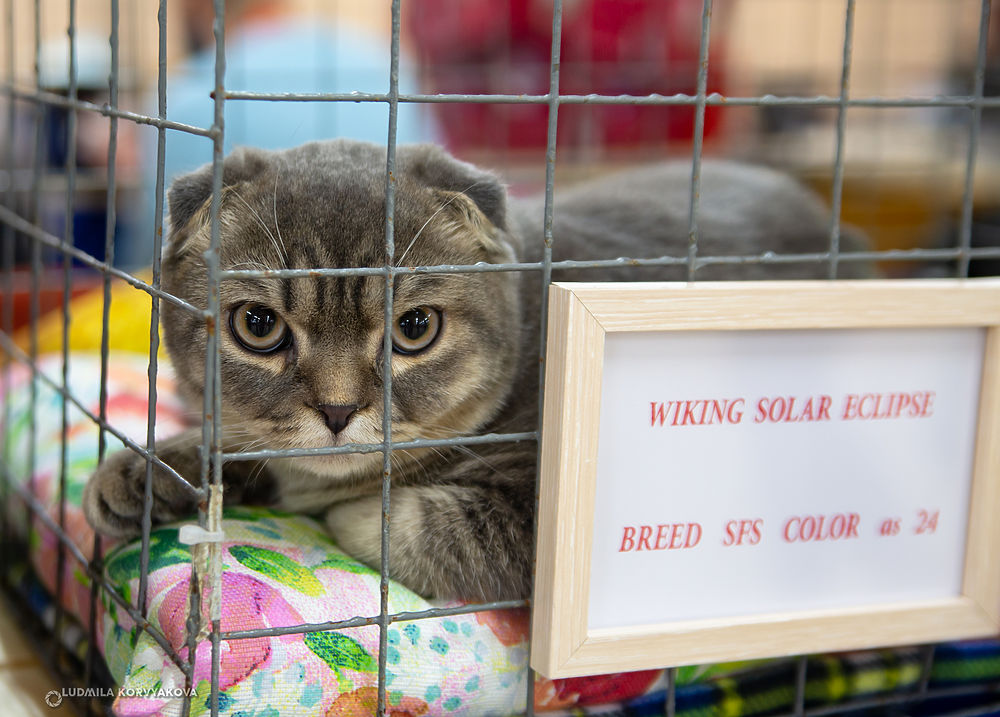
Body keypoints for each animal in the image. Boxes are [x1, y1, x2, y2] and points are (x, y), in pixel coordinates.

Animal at [80, 138, 876, 600]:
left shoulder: (538, 514)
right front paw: (149, 472)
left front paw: (340, 509)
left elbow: (415, 525)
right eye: (258, 326)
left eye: (415, 329)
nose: (337, 410)